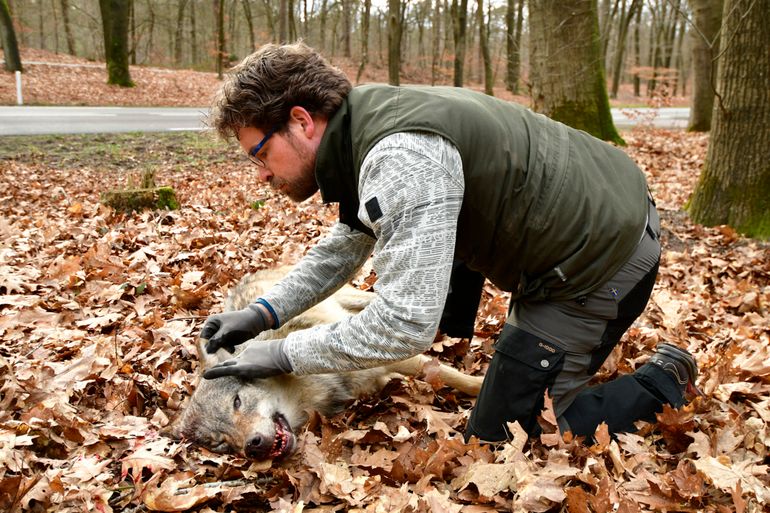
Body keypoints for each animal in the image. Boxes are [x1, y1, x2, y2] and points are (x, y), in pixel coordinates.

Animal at [172, 266, 480, 462]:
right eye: (220, 444)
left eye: (237, 402)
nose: (253, 448)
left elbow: (453, 376)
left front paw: (478, 387)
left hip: (349, 297)